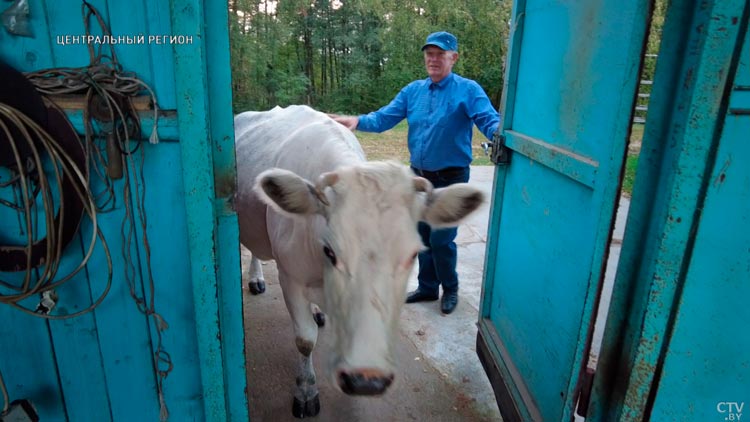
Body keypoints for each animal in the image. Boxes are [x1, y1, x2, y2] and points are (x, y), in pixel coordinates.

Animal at [234, 106, 488, 418]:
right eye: (330, 250)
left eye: (412, 254)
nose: (367, 380)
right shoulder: (289, 276)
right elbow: (304, 340)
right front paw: (306, 391)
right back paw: (256, 278)